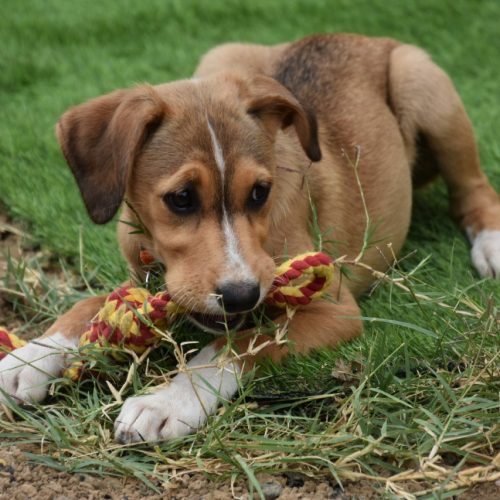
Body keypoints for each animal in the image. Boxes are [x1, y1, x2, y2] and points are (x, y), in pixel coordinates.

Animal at [0, 34, 500, 442]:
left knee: (472, 189)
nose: (241, 295)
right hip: (222, 55)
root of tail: (359, 36)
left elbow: (233, 346)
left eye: (260, 192)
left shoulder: (334, 310)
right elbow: (88, 306)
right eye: (181, 198)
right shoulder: (143, 277)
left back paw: (490, 243)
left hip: (424, 84)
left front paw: (168, 401)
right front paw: (32, 358)